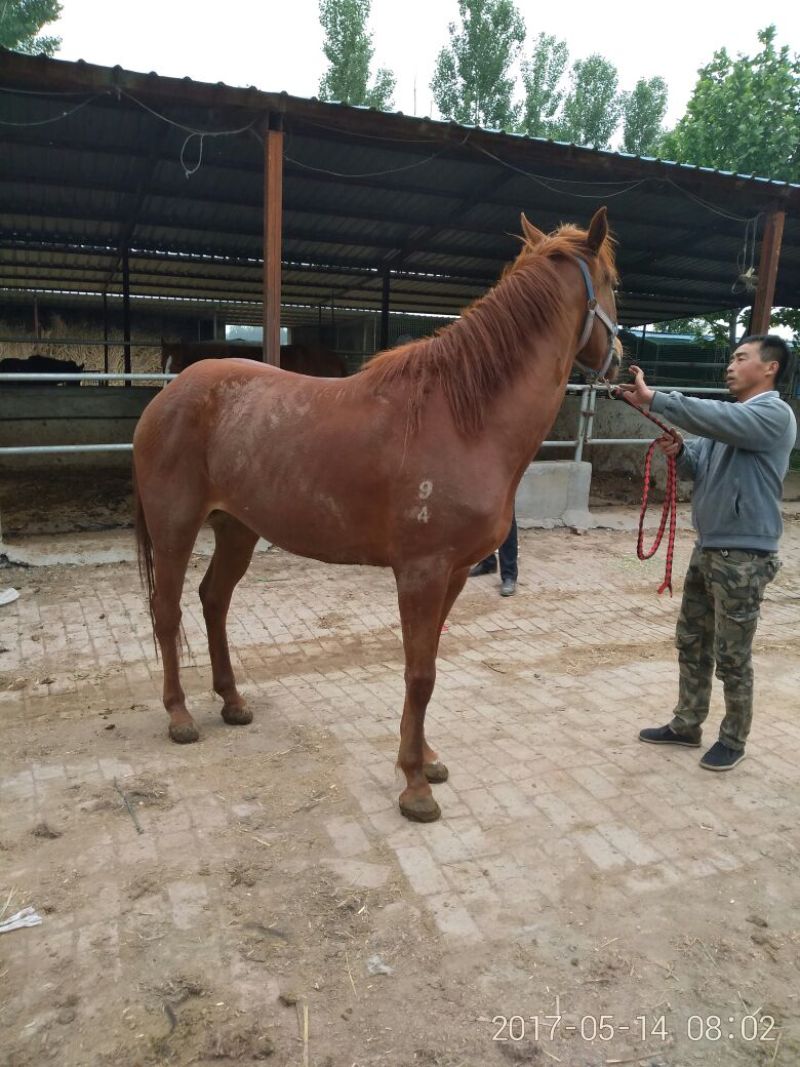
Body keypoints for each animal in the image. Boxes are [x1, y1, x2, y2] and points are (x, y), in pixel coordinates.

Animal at [134, 210, 622, 823]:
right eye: (613, 281)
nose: (622, 361)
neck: (464, 417)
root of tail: (168, 395)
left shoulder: (454, 573)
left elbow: (428, 664)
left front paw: (427, 760)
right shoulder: (421, 573)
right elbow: (419, 673)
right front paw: (414, 786)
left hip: (237, 529)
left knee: (213, 600)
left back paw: (232, 701)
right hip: (174, 529)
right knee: (167, 609)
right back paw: (179, 715)